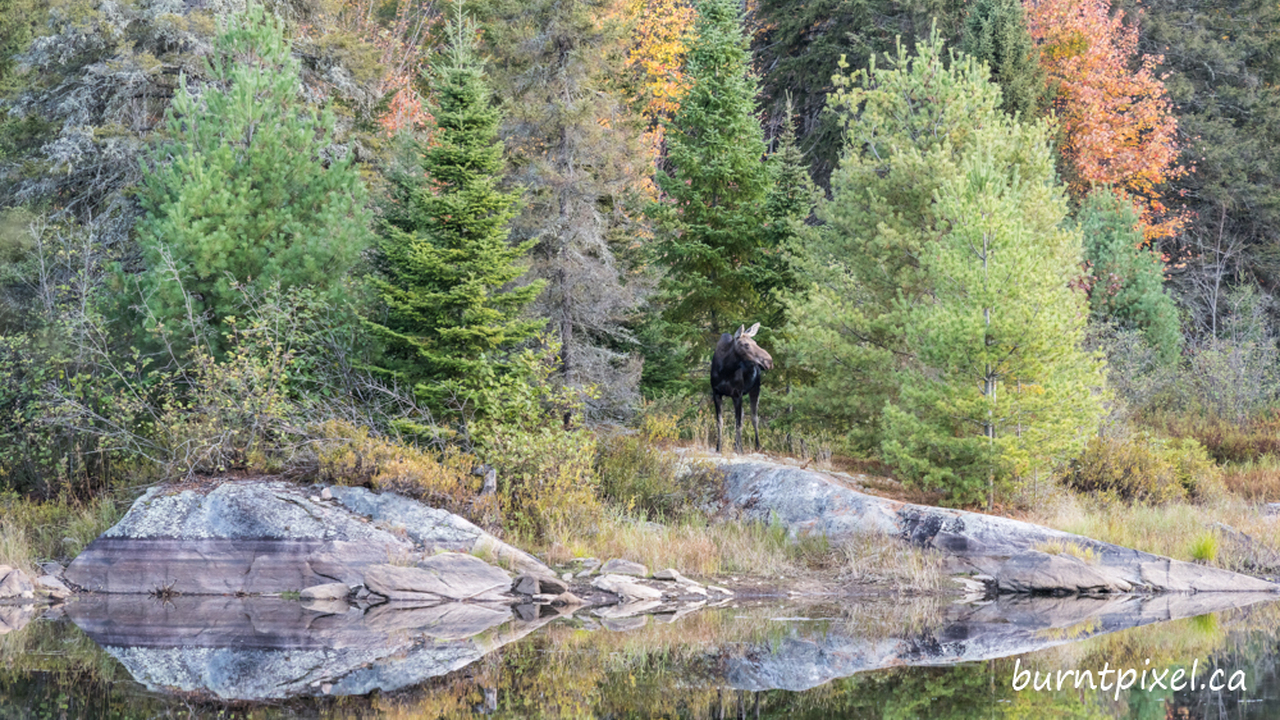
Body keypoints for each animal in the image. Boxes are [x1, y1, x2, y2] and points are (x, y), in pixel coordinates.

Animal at [711, 323, 774, 453]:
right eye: (746, 344)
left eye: (755, 342)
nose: (769, 361)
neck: (725, 370)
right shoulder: (716, 393)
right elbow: (720, 422)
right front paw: (719, 447)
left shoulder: (737, 394)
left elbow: (738, 423)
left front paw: (740, 449)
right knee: (745, 416)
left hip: (755, 389)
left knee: (754, 418)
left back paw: (757, 445)